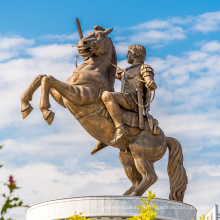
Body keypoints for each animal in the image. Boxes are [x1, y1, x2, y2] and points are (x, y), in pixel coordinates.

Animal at [21, 24, 187, 202]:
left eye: (99, 35)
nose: (81, 43)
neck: (93, 71)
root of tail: (165, 138)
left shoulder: (79, 95)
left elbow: (48, 79)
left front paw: (46, 111)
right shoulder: (63, 98)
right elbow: (42, 77)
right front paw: (25, 105)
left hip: (140, 155)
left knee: (150, 177)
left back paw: (133, 193)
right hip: (126, 157)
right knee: (137, 180)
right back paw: (125, 195)